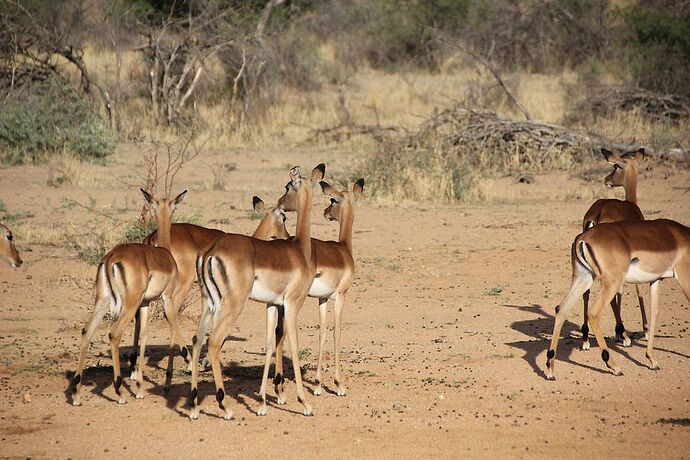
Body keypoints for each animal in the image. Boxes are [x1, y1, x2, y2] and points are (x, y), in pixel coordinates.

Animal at [71, 189, 189, 404]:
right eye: (174, 207)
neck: (165, 254)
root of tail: (111, 258)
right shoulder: (167, 299)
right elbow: (172, 329)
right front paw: (167, 383)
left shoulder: (144, 304)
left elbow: (143, 335)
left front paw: (140, 387)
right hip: (128, 305)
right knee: (114, 334)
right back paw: (119, 393)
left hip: (103, 301)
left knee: (86, 331)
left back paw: (76, 394)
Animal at [188, 164, 326, 418]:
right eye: (288, 186)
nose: (281, 203)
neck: (300, 251)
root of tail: (211, 252)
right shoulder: (293, 304)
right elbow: (293, 344)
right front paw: (305, 403)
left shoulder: (272, 305)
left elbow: (271, 344)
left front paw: (262, 403)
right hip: (233, 306)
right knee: (213, 342)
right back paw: (225, 407)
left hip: (209, 304)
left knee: (197, 340)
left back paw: (193, 406)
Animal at [266, 180, 362, 406]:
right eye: (332, 199)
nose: (326, 212)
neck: (344, 250)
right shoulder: (341, 296)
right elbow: (337, 332)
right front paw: (339, 385)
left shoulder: (323, 299)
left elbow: (323, 332)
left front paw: (318, 385)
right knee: (282, 332)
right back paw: (280, 392)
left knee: (278, 332)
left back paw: (279, 391)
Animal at [544, 219, 688, 380]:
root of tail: (583, 238)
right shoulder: (685, 277)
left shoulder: (656, 280)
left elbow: (654, 313)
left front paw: (651, 359)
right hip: (611, 283)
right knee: (593, 314)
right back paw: (614, 366)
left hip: (584, 278)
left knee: (561, 309)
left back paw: (550, 368)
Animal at [580, 147, 644, 348]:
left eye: (615, 167)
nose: (606, 179)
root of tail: (597, 214)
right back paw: (624, 336)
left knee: (586, 290)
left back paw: (585, 338)